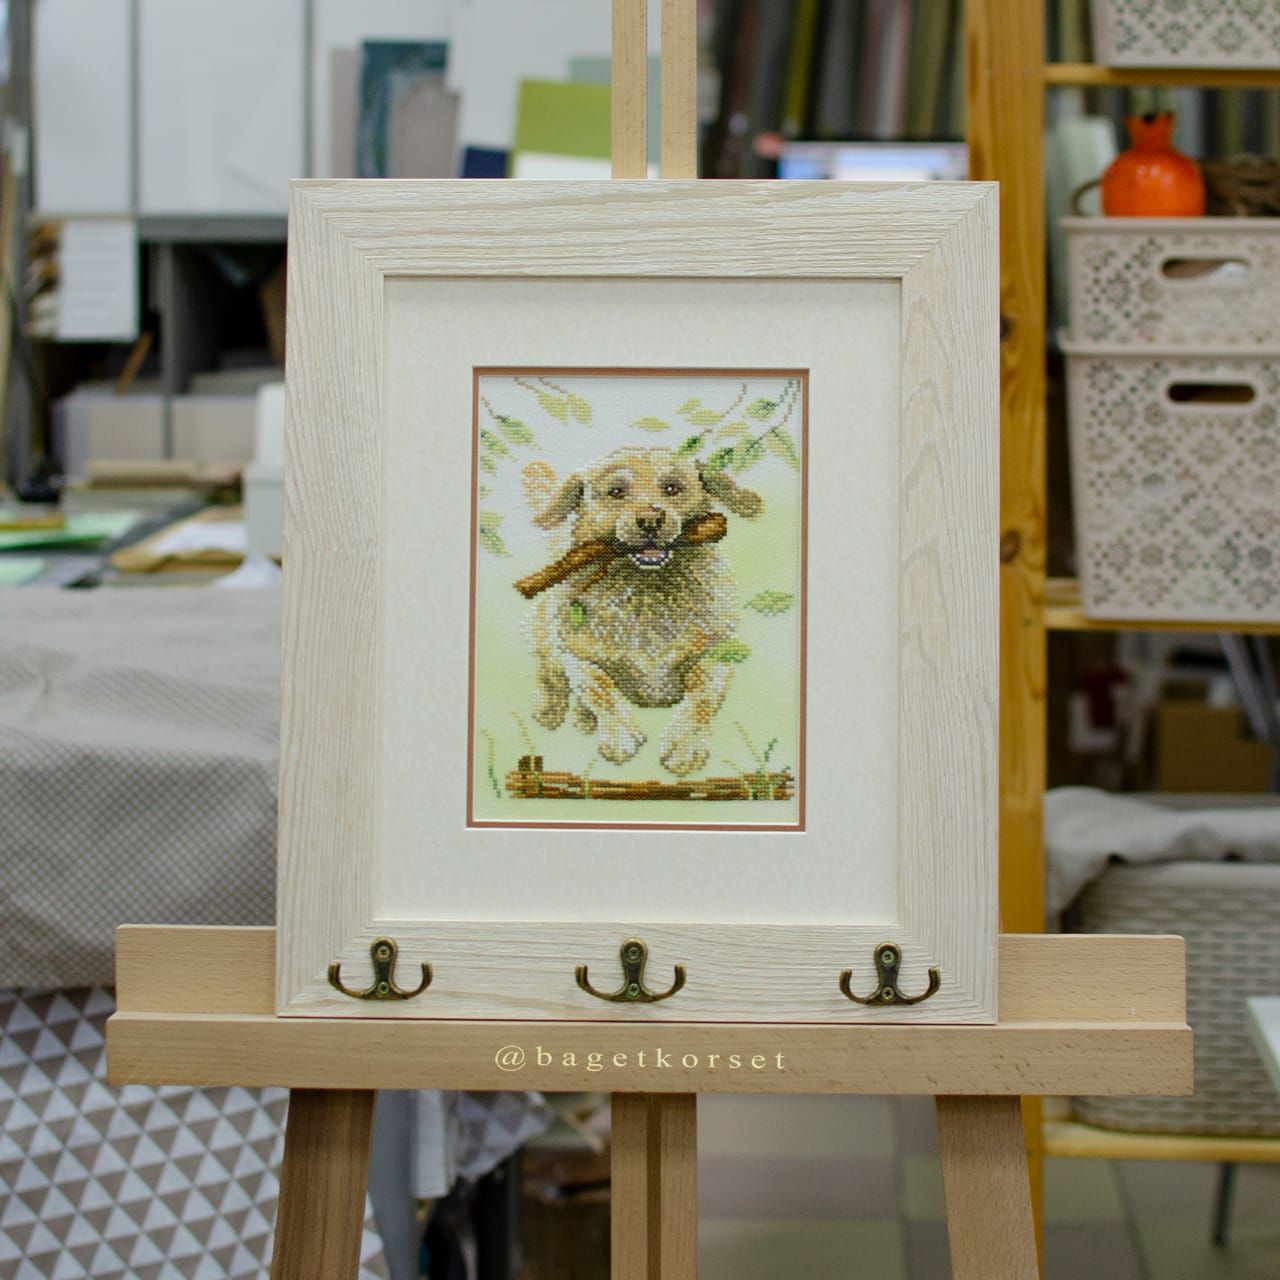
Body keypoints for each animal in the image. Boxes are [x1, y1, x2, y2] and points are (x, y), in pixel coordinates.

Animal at [519, 445, 763, 777]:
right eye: (616, 491)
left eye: (672, 488)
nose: (650, 520)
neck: (647, 593)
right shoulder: (574, 653)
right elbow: (598, 685)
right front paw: (620, 737)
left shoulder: (719, 651)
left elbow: (703, 694)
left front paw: (684, 747)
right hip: (543, 627)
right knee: (549, 671)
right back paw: (550, 710)